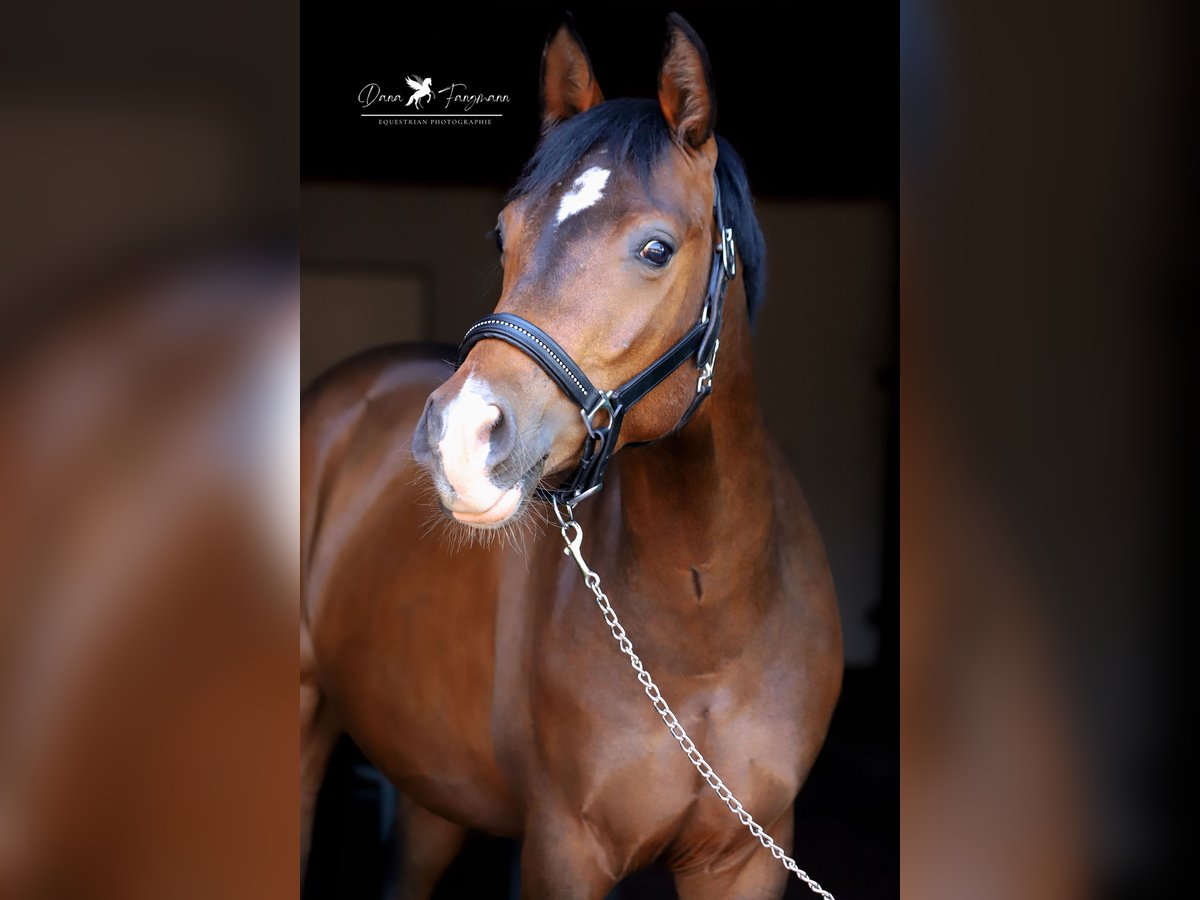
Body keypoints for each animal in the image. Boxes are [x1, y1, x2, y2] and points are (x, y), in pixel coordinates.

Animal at [302, 15, 844, 900]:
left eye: (656, 249)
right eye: (503, 235)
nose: (460, 436)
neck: (706, 625)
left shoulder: (749, 855)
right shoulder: (565, 849)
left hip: (435, 789)